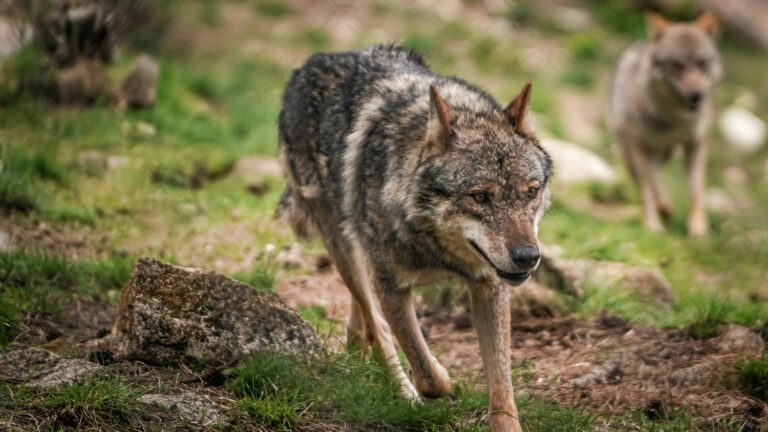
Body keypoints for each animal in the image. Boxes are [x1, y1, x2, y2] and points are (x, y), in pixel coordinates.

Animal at [280, 44, 548, 432]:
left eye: (531, 191)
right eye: (481, 196)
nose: (528, 256)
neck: (438, 250)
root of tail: (312, 62)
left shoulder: (489, 285)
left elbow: (502, 389)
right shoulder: (391, 285)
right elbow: (429, 376)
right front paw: (442, 377)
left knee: (363, 317)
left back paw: (357, 344)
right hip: (344, 248)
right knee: (378, 324)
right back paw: (402, 388)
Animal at [608, 12, 724, 236]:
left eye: (702, 63)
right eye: (677, 65)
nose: (696, 95)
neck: (675, 119)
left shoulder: (696, 144)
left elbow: (695, 189)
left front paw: (698, 228)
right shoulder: (640, 145)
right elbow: (649, 187)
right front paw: (654, 223)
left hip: (667, 153)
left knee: (657, 174)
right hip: (632, 153)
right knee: (647, 181)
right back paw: (661, 211)